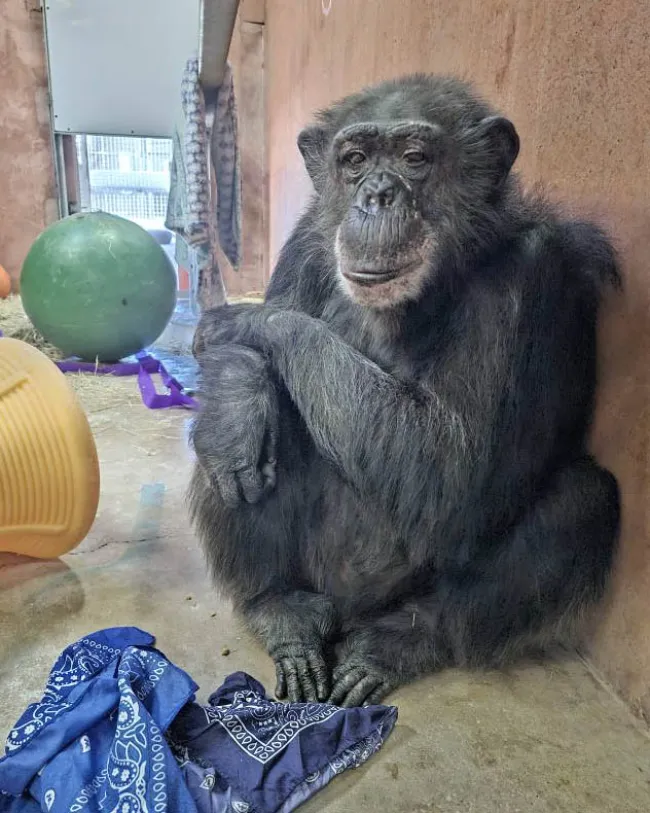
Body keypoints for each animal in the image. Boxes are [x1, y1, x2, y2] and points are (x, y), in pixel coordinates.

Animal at [188, 74, 621, 708]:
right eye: (355, 160)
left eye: (415, 159)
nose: (377, 195)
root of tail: (347, 611)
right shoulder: (306, 236)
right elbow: (244, 384)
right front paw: (237, 397)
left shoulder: (529, 275)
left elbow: (445, 466)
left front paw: (242, 322)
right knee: (240, 435)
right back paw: (281, 609)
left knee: (583, 500)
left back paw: (397, 643)